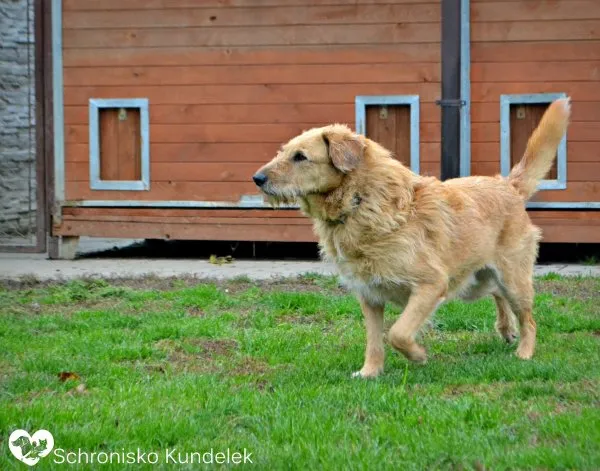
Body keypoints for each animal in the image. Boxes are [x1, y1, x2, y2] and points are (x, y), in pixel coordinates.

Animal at [252, 97, 572, 378]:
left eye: (300, 157)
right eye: (283, 152)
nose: (257, 179)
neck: (362, 201)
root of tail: (508, 185)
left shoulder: (431, 285)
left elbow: (398, 333)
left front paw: (418, 355)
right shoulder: (369, 295)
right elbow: (374, 341)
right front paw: (370, 372)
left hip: (512, 279)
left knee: (529, 318)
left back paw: (524, 352)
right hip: (475, 281)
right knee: (496, 294)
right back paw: (506, 330)